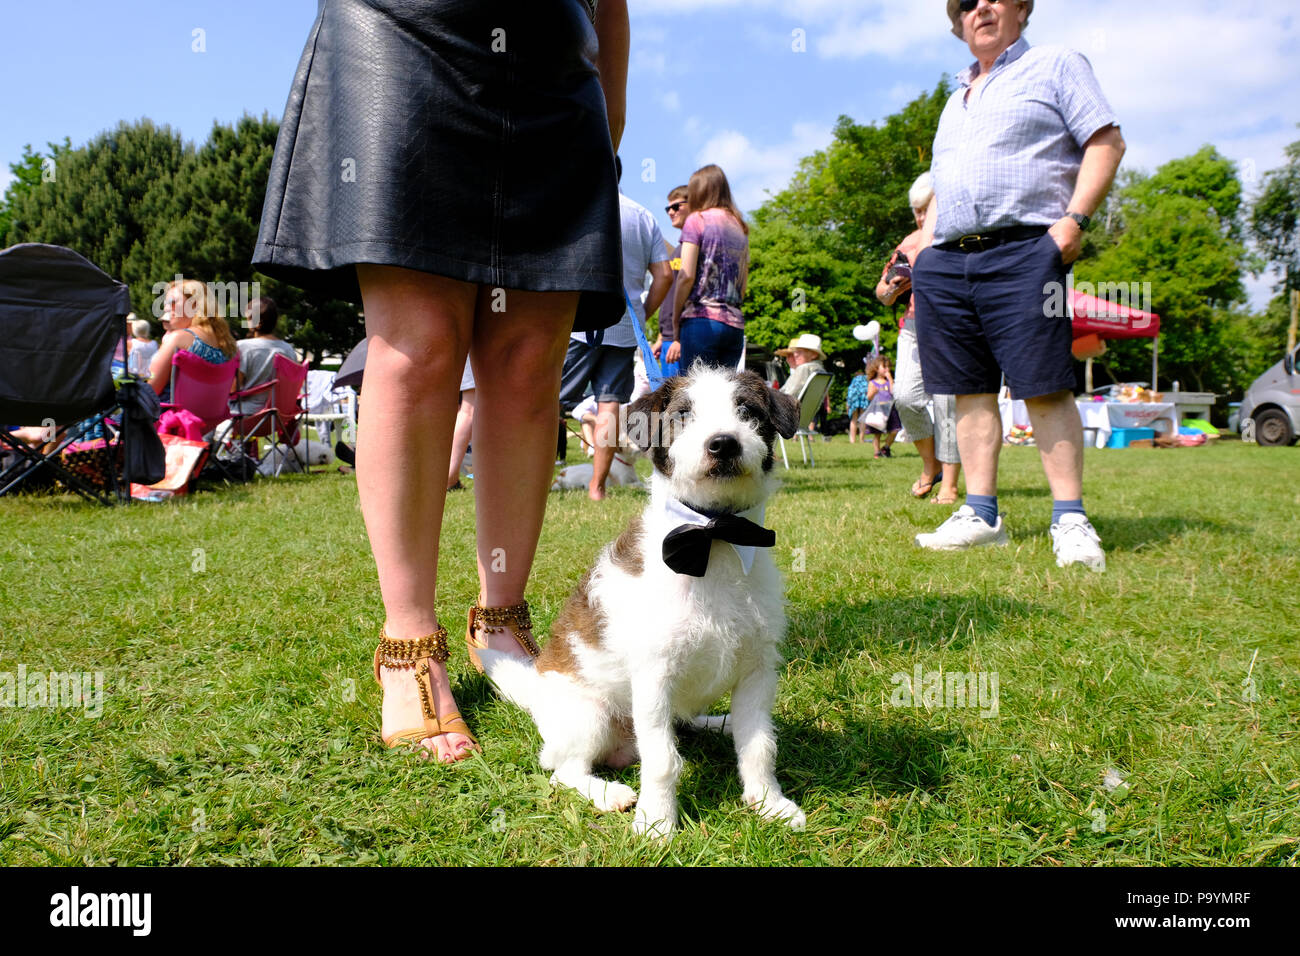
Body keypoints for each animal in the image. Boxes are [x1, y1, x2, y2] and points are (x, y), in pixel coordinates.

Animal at [478, 364, 800, 837]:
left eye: (748, 411)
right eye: (683, 414)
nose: (723, 442)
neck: (713, 538)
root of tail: (537, 691)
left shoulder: (757, 672)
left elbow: (759, 746)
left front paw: (768, 803)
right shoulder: (653, 678)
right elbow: (663, 760)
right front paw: (657, 821)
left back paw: (717, 723)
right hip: (591, 716)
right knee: (563, 770)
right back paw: (607, 792)